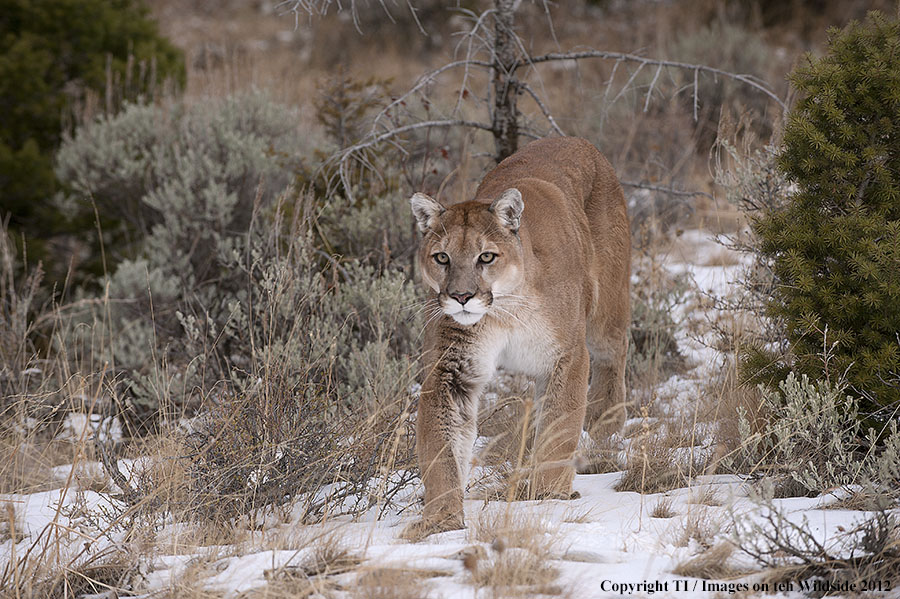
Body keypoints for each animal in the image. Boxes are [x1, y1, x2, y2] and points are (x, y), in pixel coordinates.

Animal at [408, 138, 632, 536]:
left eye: (485, 256)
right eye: (442, 257)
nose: (461, 296)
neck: (505, 309)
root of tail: (578, 141)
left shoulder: (568, 354)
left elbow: (560, 427)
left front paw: (548, 495)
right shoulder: (450, 369)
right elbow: (441, 446)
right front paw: (441, 519)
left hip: (607, 310)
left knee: (613, 355)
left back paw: (606, 423)